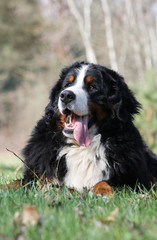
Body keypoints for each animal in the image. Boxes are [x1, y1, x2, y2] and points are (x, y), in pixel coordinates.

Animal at [22, 61, 157, 191]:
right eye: (67, 85)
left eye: (92, 87)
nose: (65, 95)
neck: (80, 146)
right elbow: (20, 182)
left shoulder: (134, 181)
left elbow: (103, 182)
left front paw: (102, 191)